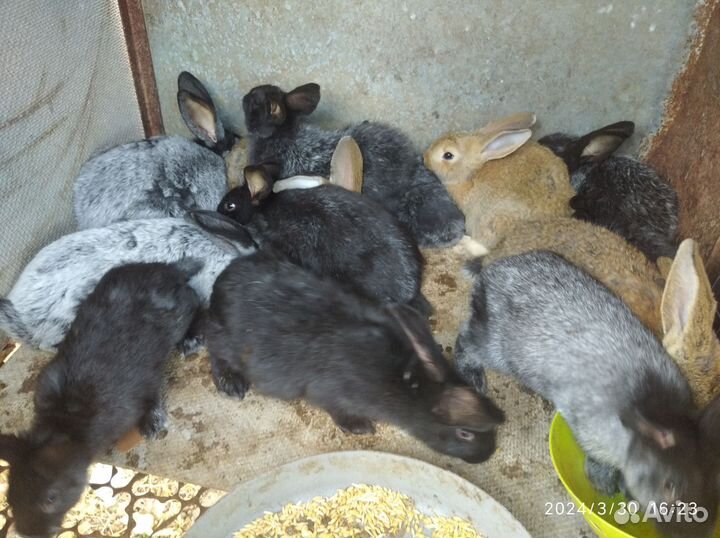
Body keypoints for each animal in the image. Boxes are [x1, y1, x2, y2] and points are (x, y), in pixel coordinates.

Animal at [0, 261, 200, 538]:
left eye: (51, 498)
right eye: (10, 499)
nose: (32, 533)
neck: (66, 419)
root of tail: (169, 270)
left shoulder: (143, 385)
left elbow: (153, 396)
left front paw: (152, 426)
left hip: (180, 314)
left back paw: (189, 341)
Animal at [204, 250, 504, 463]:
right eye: (465, 433)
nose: (487, 455)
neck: (409, 383)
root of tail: (222, 282)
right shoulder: (330, 395)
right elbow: (337, 411)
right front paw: (360, 427)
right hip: (226, 342)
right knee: (214, 350)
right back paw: (232, 384)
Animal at [454, 250, 720, 538]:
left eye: (714, 491)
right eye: (669, 487)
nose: (691, 534)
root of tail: (489, 274)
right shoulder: (591, 430)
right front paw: (603, 484)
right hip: (497, 351)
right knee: (466, 341)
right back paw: (472, 377)